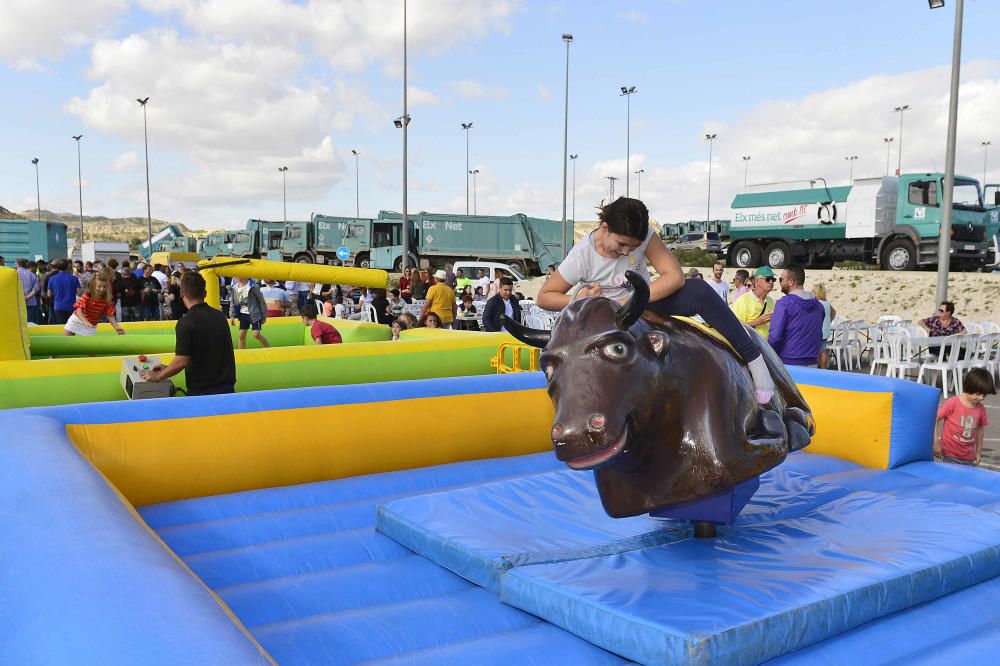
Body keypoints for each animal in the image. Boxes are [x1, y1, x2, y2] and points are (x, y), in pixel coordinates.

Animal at [504, 272, 816, 520]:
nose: (575, 433)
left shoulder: (735, 450)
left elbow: (774, 441)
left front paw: (777, 424)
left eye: (618, 348)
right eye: (547, 367)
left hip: (776, 367)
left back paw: (792, 421)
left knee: (802, 411)